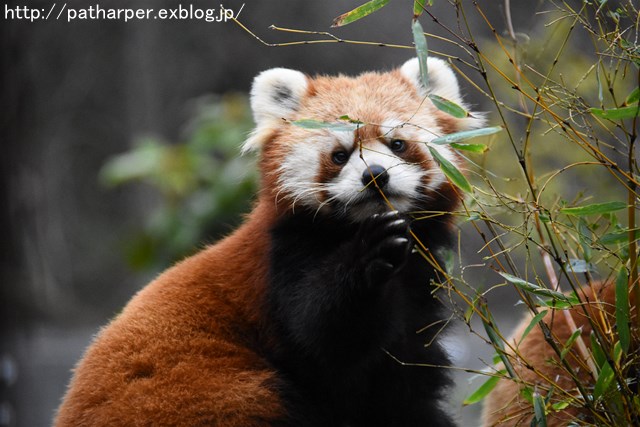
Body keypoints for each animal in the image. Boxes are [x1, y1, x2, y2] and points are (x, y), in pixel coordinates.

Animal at [56, 57, 480, 427]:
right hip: (208, 389)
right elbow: (321, 334)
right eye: (339, 155)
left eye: (397, 144)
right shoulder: (284, 261)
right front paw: (369, 255)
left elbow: (403, 392)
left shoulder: (417, 298)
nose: (375, 175)